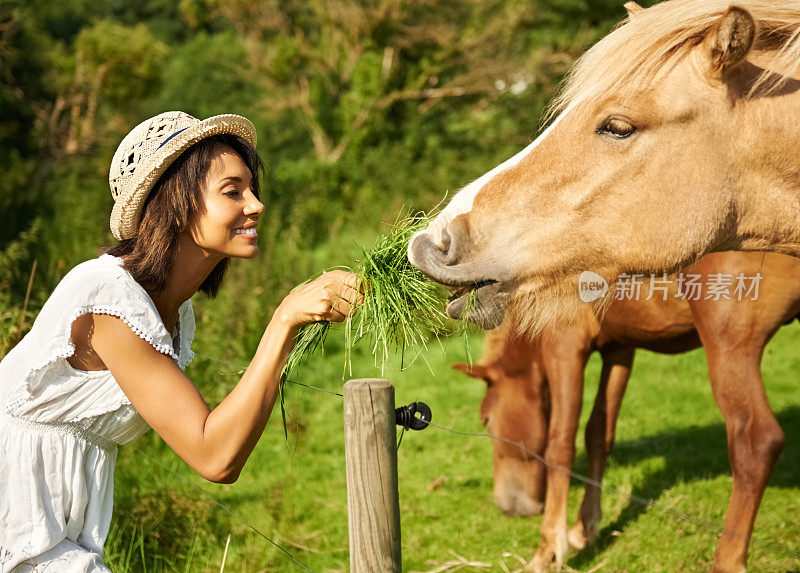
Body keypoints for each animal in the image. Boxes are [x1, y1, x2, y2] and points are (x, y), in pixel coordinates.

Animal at [454, 251, 796, 572]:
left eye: (485, 420)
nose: (507, 506)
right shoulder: (619, 348)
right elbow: (598, 434)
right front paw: (584, 528)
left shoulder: (563, 343)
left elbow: (560, 444)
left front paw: (548, 550)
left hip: (730, 347)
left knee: (757, 442)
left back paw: (727, 560)